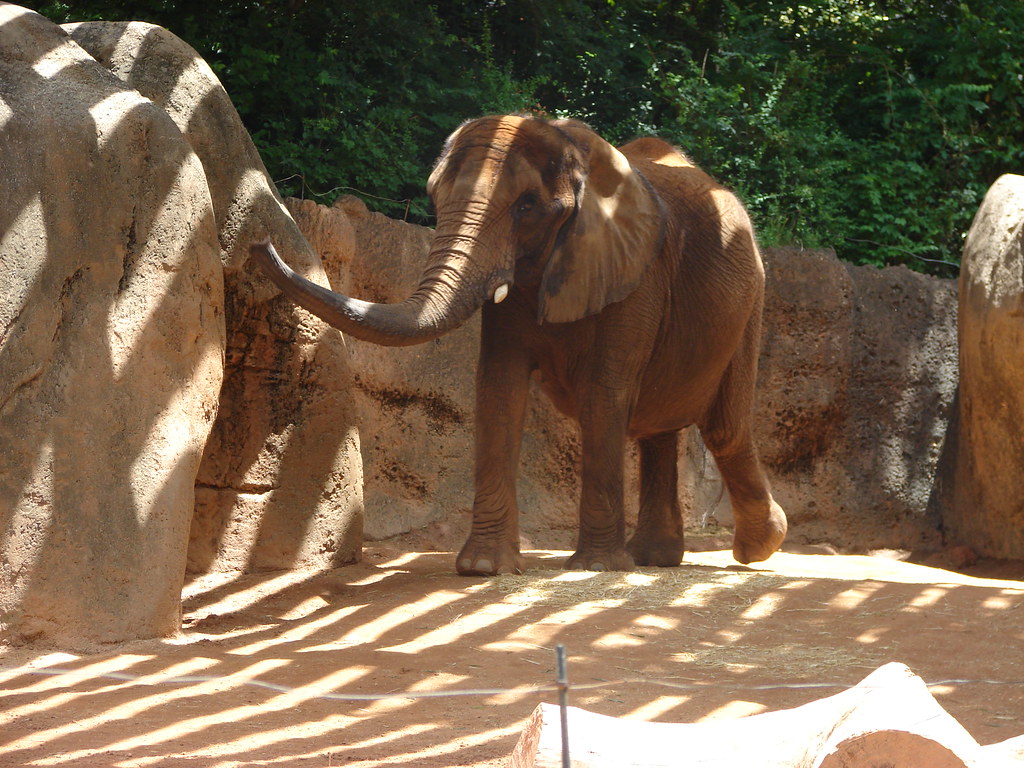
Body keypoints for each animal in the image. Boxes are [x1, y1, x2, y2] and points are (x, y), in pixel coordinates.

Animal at [251, 114, 788, 576]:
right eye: (434, 198)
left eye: (526, 207)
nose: (258, 246)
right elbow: (498, 387)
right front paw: (483, 568)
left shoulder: (637, 276)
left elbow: (604, 395)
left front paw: (595, 568)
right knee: (660, 429)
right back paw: (656, 558)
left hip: (752, 301)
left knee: (723, 428)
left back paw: (759, 545)